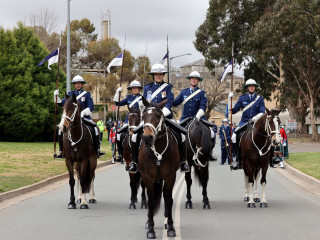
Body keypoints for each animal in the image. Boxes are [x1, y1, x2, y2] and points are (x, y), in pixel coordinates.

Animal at [139, 98, 181, 238]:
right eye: (143, 116)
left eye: (158, 116)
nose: (147, 138)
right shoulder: (148, 177)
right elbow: (151, 201)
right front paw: (151, 229)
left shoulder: (170, 177)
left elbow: (168, 200)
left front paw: (171, 227)